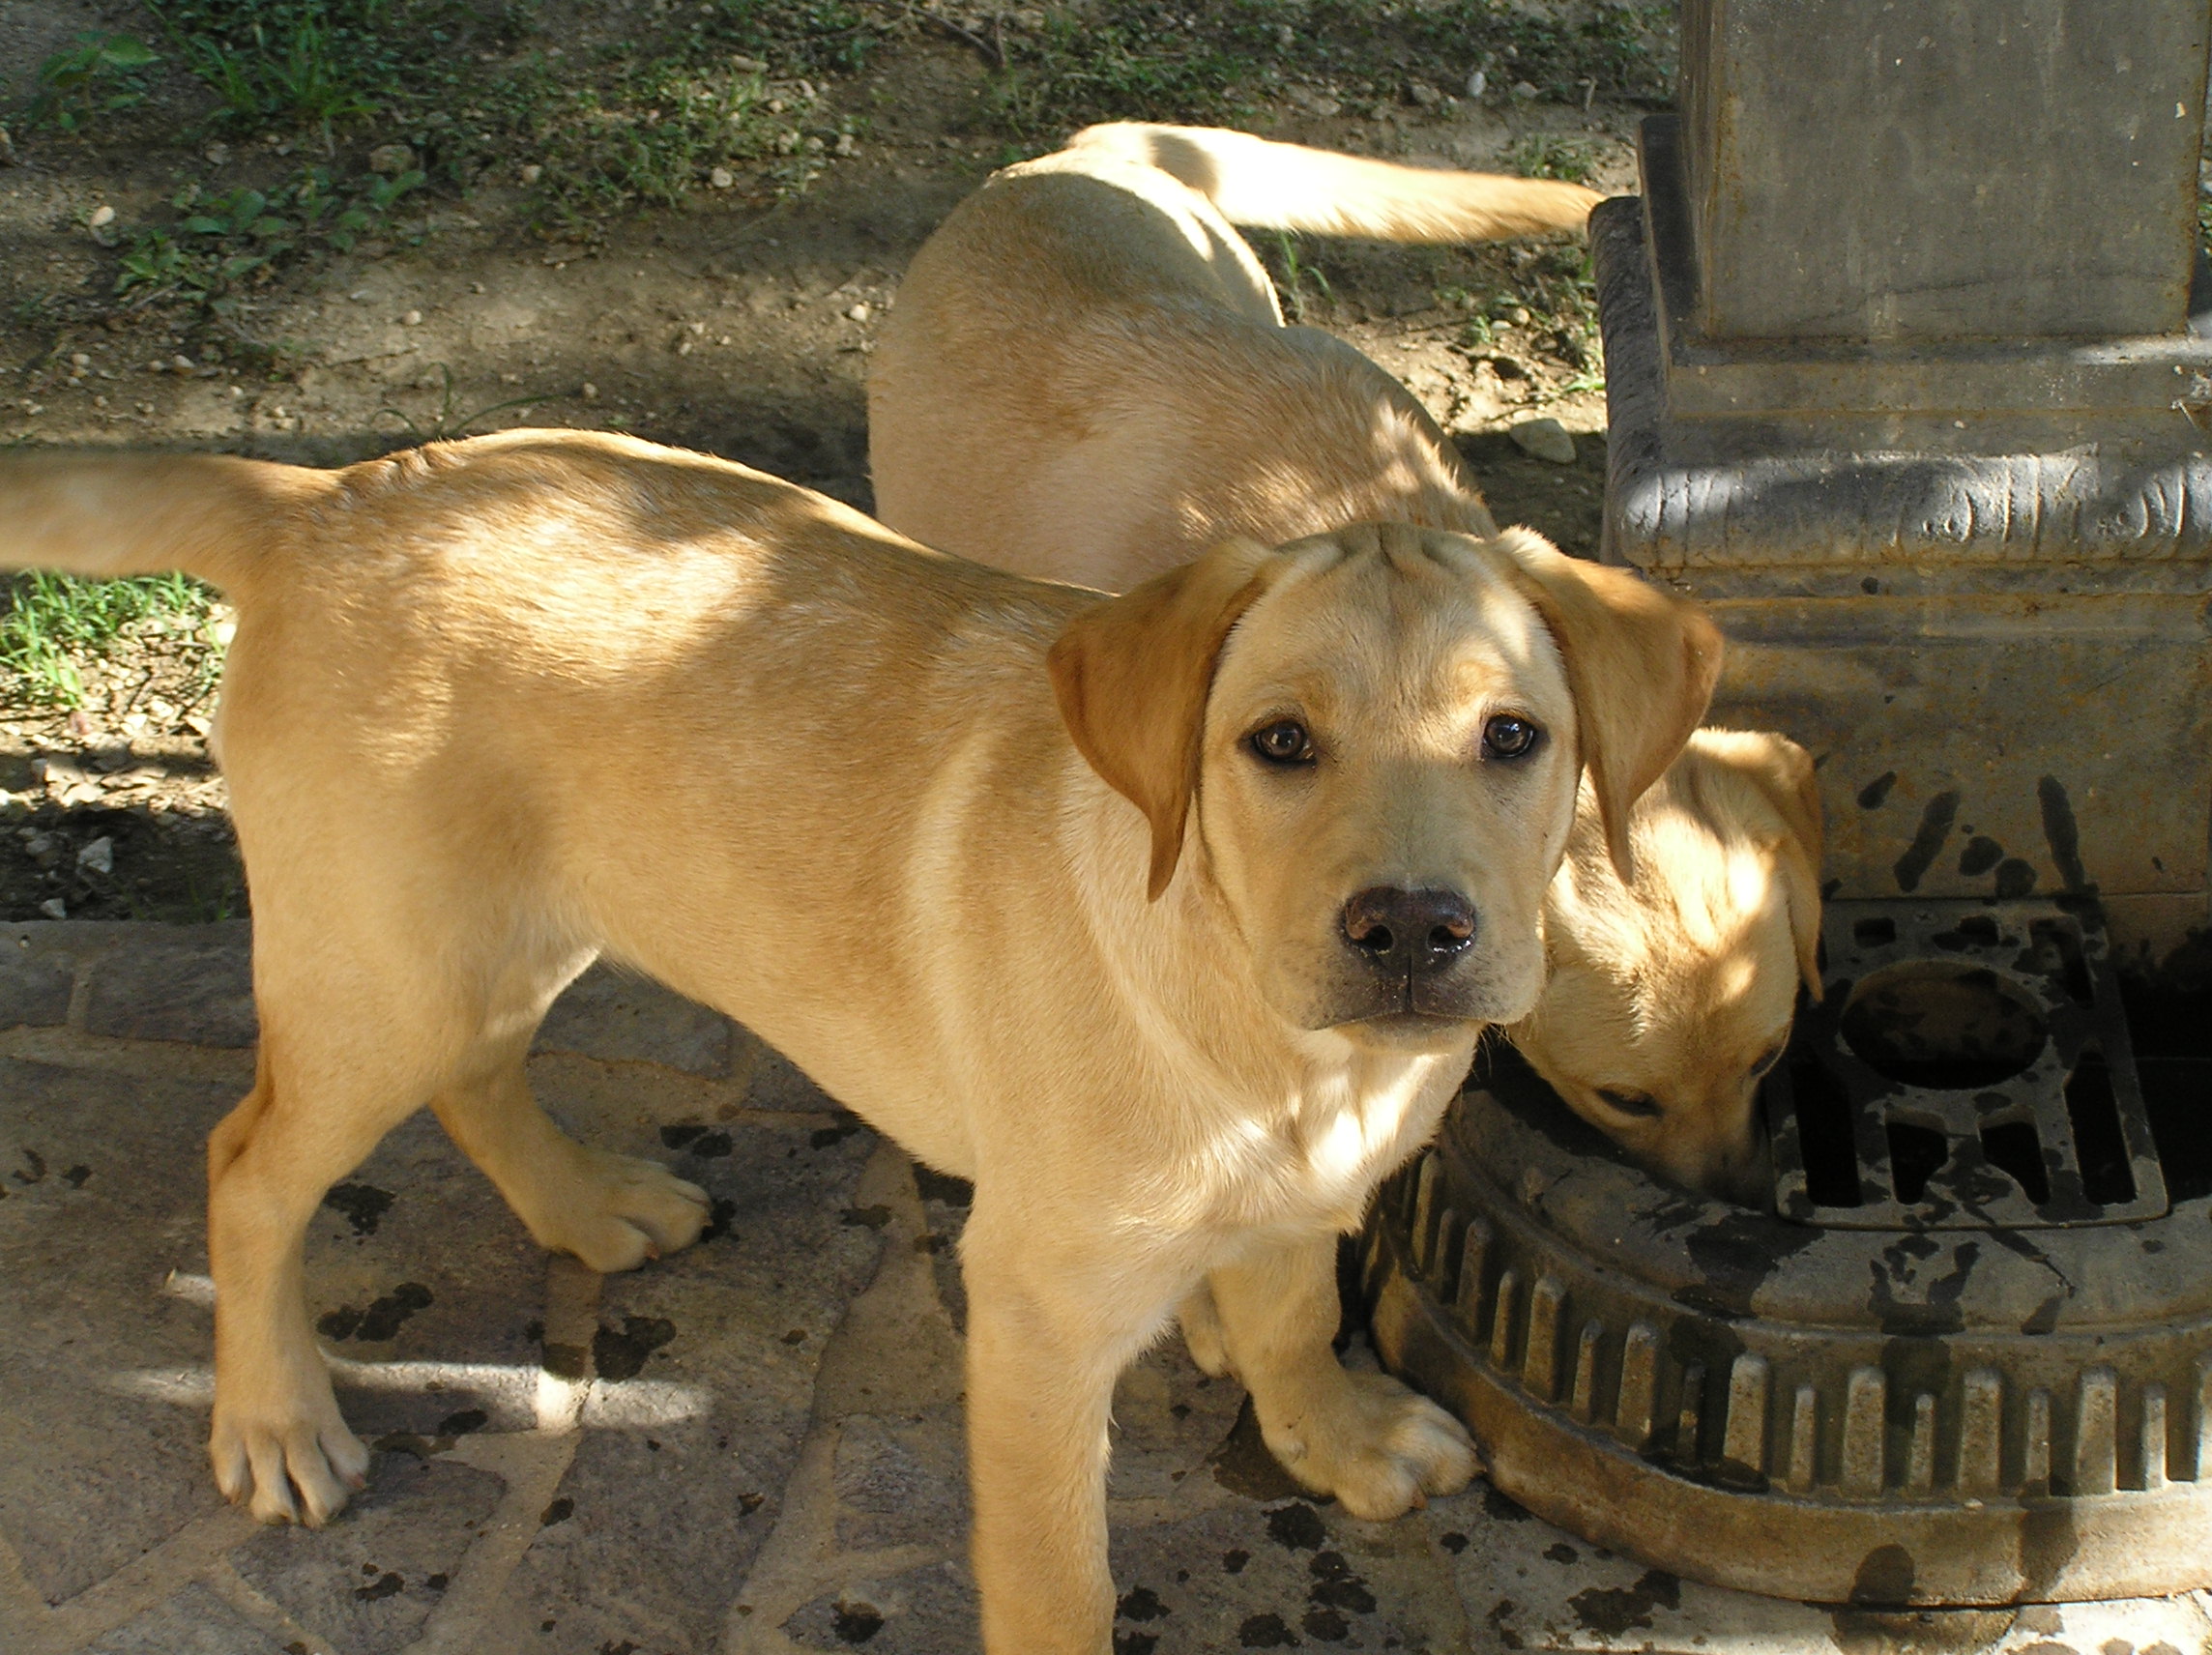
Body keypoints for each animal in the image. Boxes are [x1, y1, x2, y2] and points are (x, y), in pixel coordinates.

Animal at [0, 433, 1707, 1645]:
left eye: (1515, 738)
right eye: (1277, 745)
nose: (1412, 932)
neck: (1282, 1046)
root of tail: (326, 496)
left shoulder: (1300, 1190)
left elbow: (1289, 1316)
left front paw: (1332, 1438)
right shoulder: (1036, 1313)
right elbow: (1059, 1582)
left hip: (497, 939)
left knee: (478, 1076)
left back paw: (586, 1207)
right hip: (384, 968)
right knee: (247, 1168)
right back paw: (275, 1419)